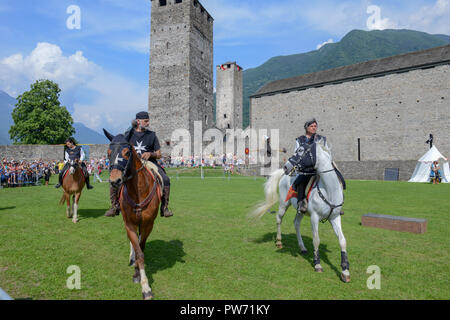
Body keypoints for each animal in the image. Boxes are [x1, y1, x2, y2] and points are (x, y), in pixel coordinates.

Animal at [103, 129, 162, 300]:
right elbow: (137, 250)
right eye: (108, 152)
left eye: (127, 152)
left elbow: (141, 251)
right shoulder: (129, 224)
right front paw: (144, 284)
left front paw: (142, 282)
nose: (115, 181)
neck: (138, 192)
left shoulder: (148, 224)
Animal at [250, 140, 352, 282]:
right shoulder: (314, 217)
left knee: (296, 223)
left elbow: (343, 241)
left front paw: (345, 270)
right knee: (279, 219)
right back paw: (279, 242)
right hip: (283, 205)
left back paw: (302, 247)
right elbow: (316, 240)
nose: (286, 167)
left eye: (300, 151)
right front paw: (317, 264)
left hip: (300, 211)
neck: (329, 189)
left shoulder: (335, 217)